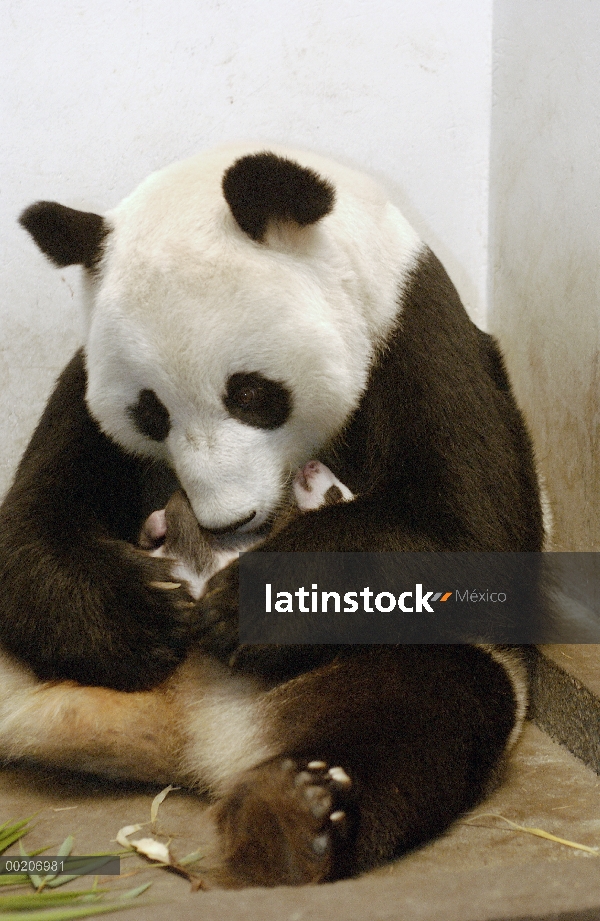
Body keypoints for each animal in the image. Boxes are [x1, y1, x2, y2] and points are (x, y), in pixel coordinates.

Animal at [0, 142, 548, 884]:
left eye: (254, 394)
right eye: (150, 413)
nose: (228, 523)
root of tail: (187, 742)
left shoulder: (414, 333)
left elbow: (472, 530)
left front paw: (241, 606)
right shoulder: (84, 383)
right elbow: (30, 524)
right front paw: (145, 616)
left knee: (432, 697)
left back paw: (291, 815)